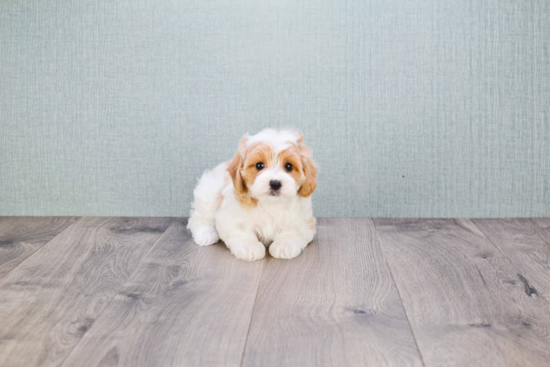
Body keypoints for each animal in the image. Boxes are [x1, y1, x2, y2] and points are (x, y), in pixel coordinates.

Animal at [188, 129, 316, 262]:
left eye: (289, 166)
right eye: (259, 165)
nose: (275, 183)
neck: (270, 203)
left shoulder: (305, 222)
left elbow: (293, 231)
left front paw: (284, 246)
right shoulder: (228, 217)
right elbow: (240, 231)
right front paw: (249, 247)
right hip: (207, 193)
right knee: (198, 218)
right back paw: (205, 233)